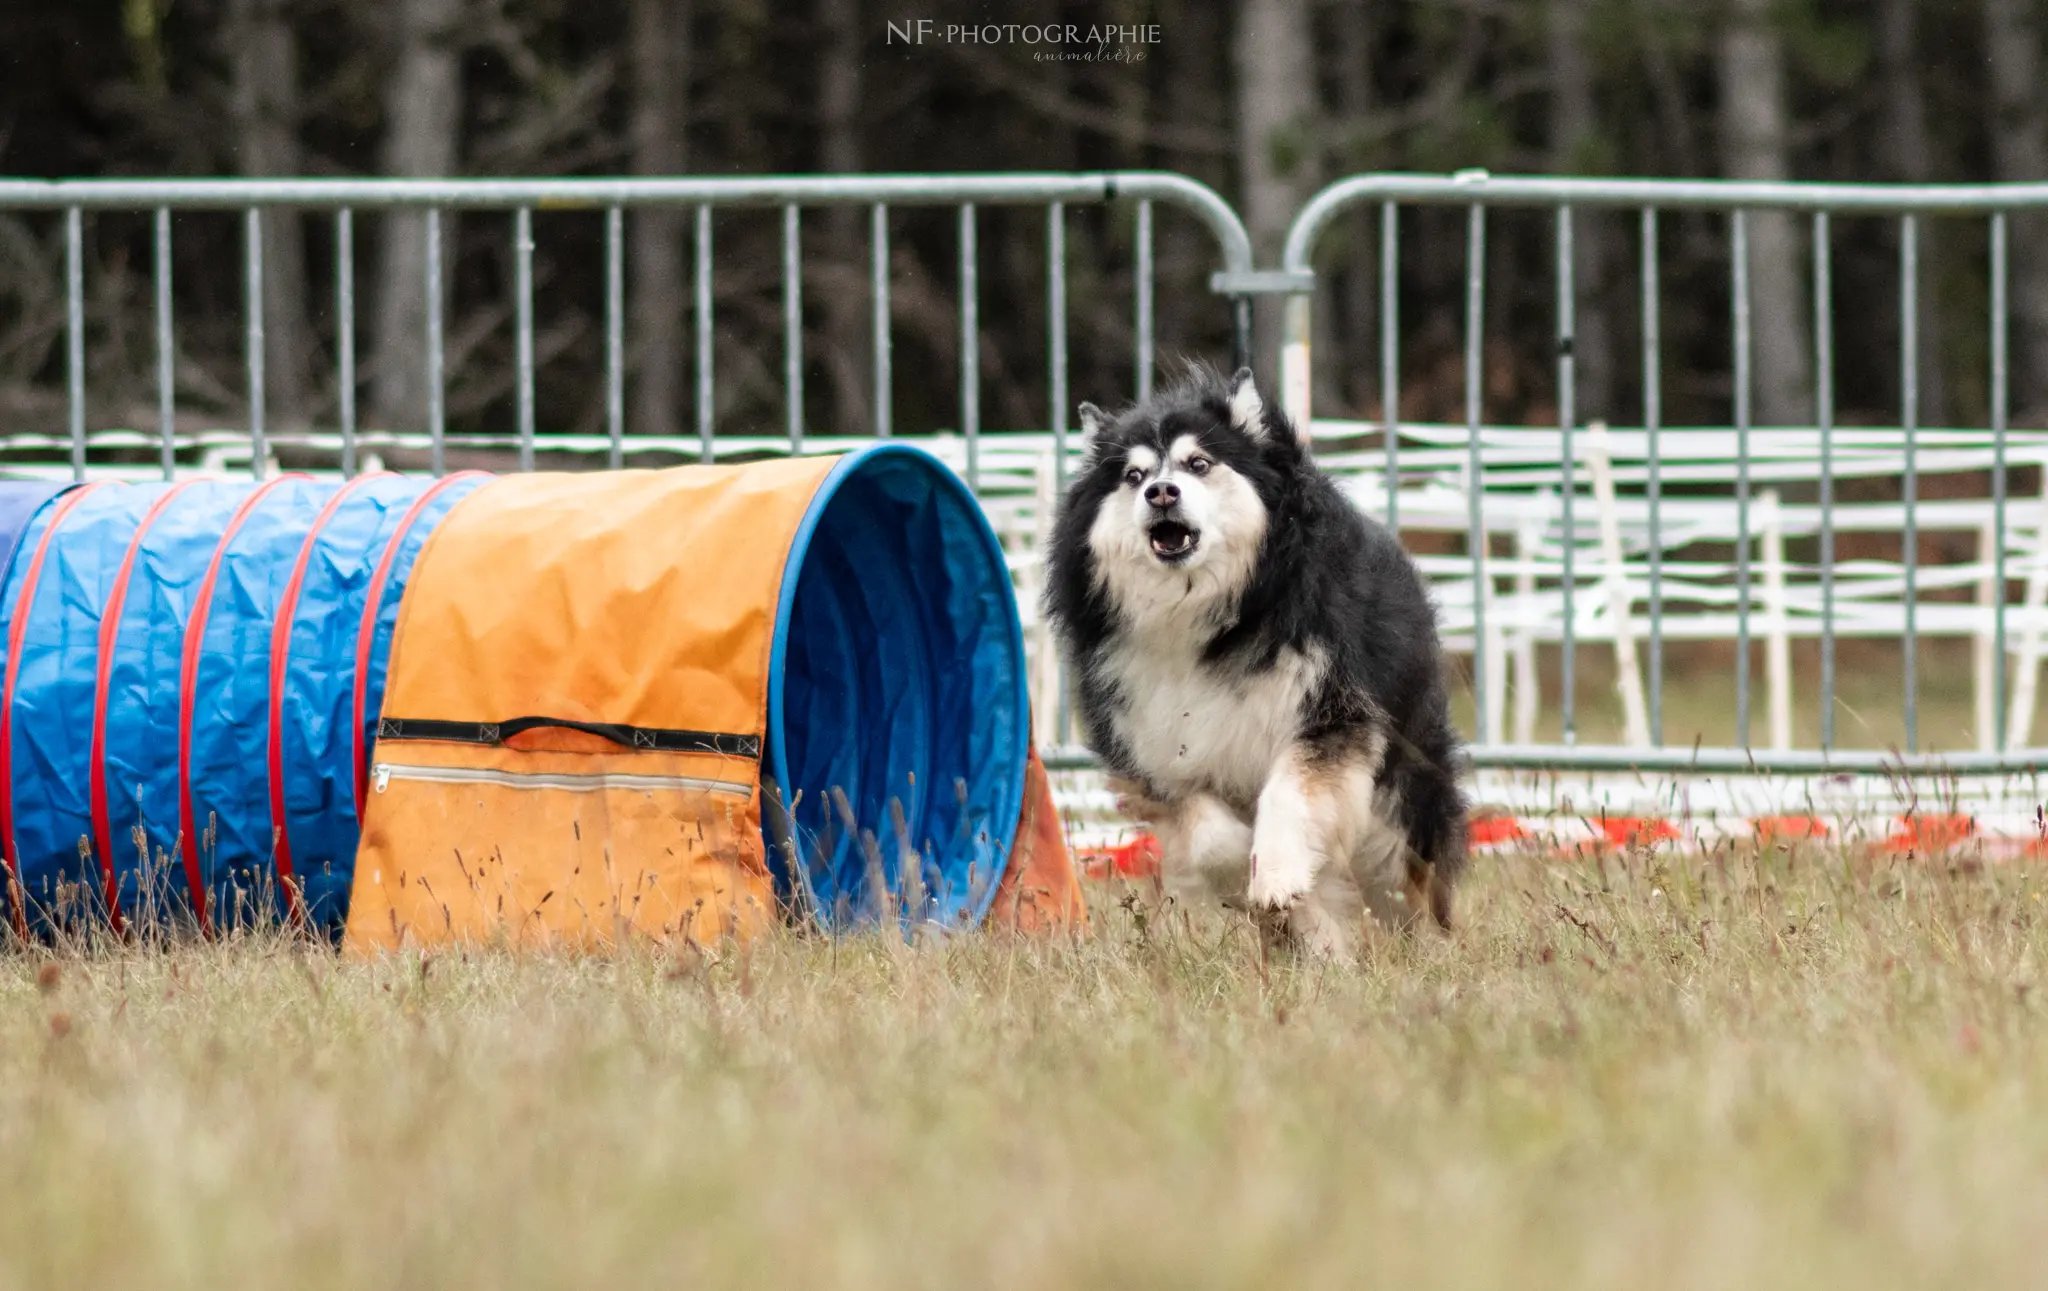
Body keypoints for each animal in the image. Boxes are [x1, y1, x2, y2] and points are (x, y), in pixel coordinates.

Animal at [1048, 362, 1466, 950]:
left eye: (1199, 464)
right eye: (1133, 476)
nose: (1160, 492)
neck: (1207, 618)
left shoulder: (1327, 713)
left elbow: (1287, 798)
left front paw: (1273, 874)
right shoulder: (1153, 745)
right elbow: (1206, 835)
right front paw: (1248, 875)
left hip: (1404, 790)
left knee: (1403, 875)